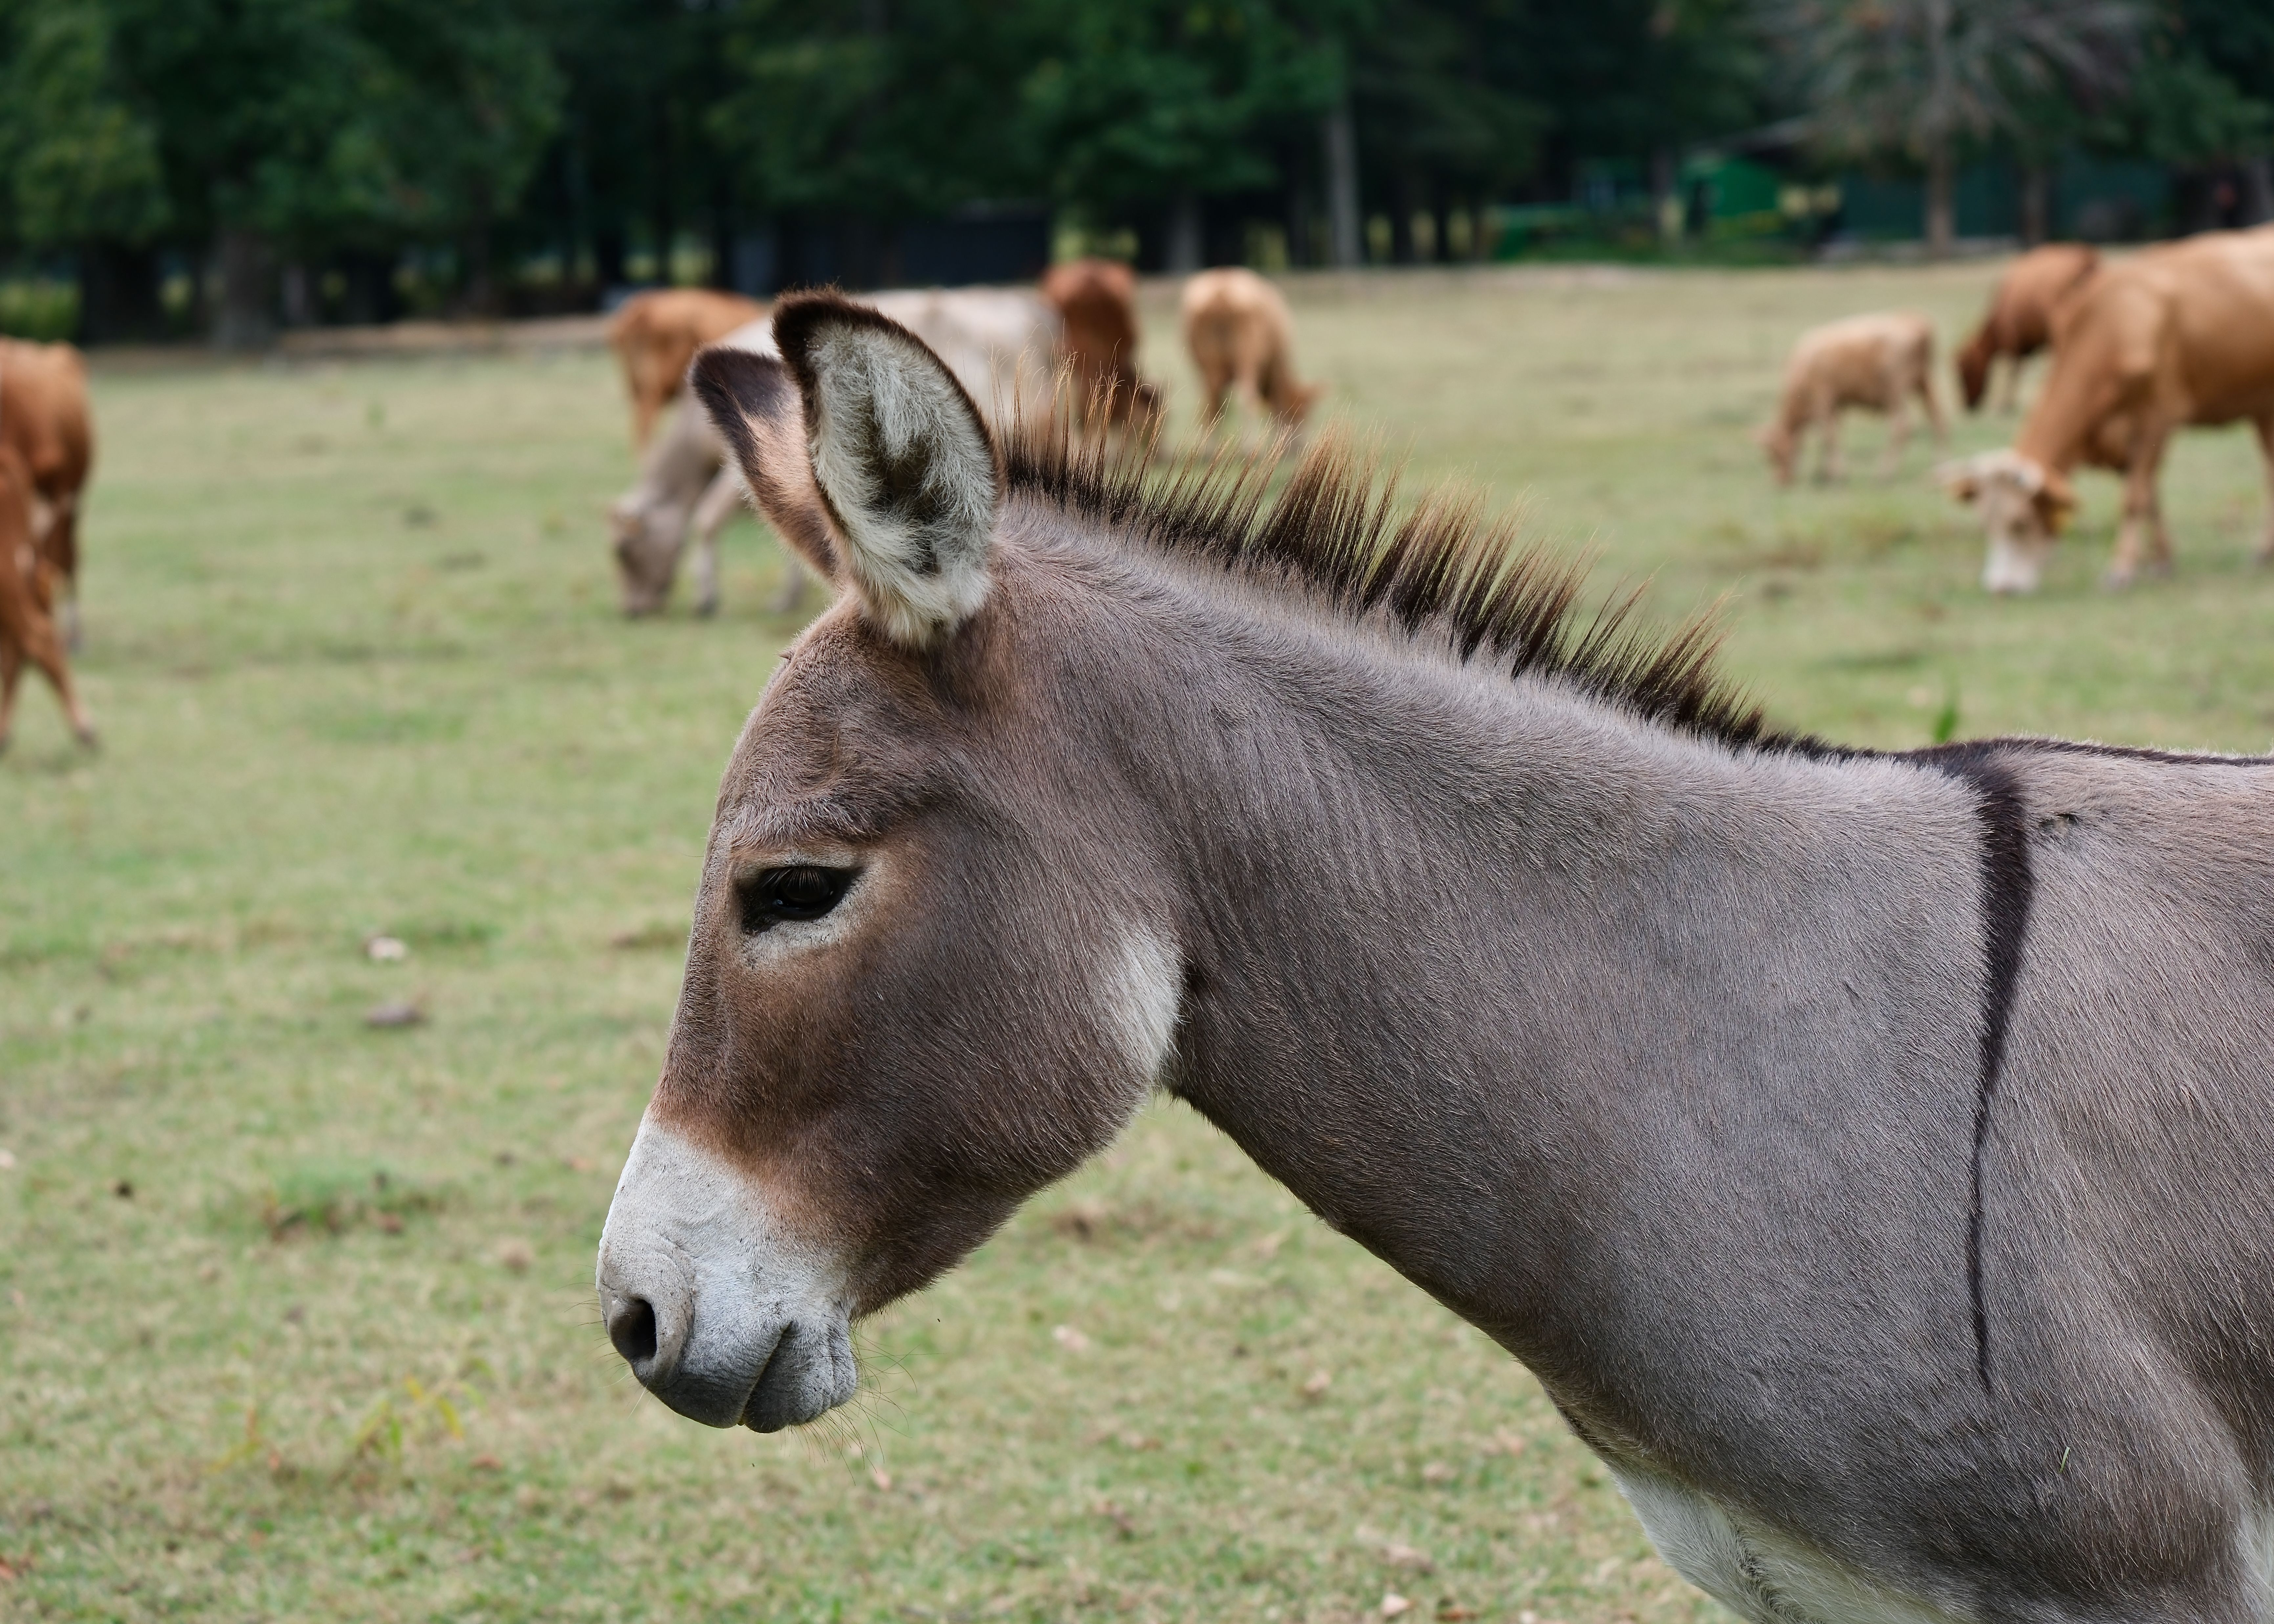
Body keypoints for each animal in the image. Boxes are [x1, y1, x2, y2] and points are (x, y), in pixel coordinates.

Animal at [1181, 268, 1322, 435]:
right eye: (1302, 414)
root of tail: (1221, 297)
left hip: (1210, 368)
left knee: (1211, 408)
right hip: (1246, 358)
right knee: (1246, 400)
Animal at [1757, 312, 1945, 486]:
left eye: (1774, 455)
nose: (1780, 482)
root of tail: (1914, 321)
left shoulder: (1822, 400)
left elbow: (1829, 437)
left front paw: (1836, 476)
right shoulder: (1837, 405)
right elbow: (1832, 435)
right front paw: (1824, 473)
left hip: (1895, 391)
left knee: (1902, 427)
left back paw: (1885, 474)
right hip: (1924, 382)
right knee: (1938, 420)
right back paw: (1937, 469)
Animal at [1955, 244, 2100, 413]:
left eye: (1966, 371)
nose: (1968, 405)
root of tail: (2085, 258)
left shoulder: (2013, 339)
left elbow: (2014, 370)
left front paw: (2006, 404)